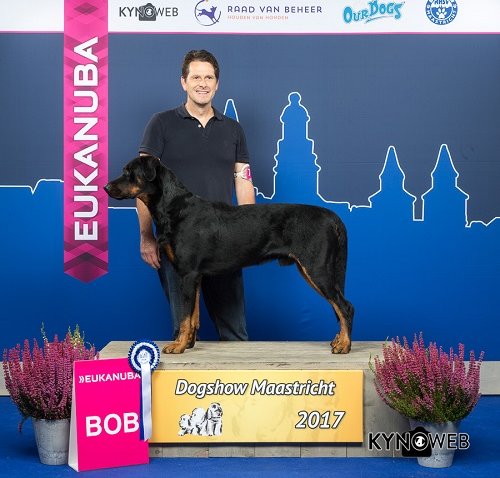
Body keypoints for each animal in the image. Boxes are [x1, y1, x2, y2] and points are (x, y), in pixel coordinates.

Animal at [104, 155, 354, 355]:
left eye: (129, 172)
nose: (106, 187)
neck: (173, 207)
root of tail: (333, 217)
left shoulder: (187, 273)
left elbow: (185, 316)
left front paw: (178, 345)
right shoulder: (195, 276)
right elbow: (193, 315)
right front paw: (189, 343)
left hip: (317, 268)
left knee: (344, 306)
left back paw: (344, 345)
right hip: (312, 269)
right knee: (338, 305)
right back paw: (339, 340)